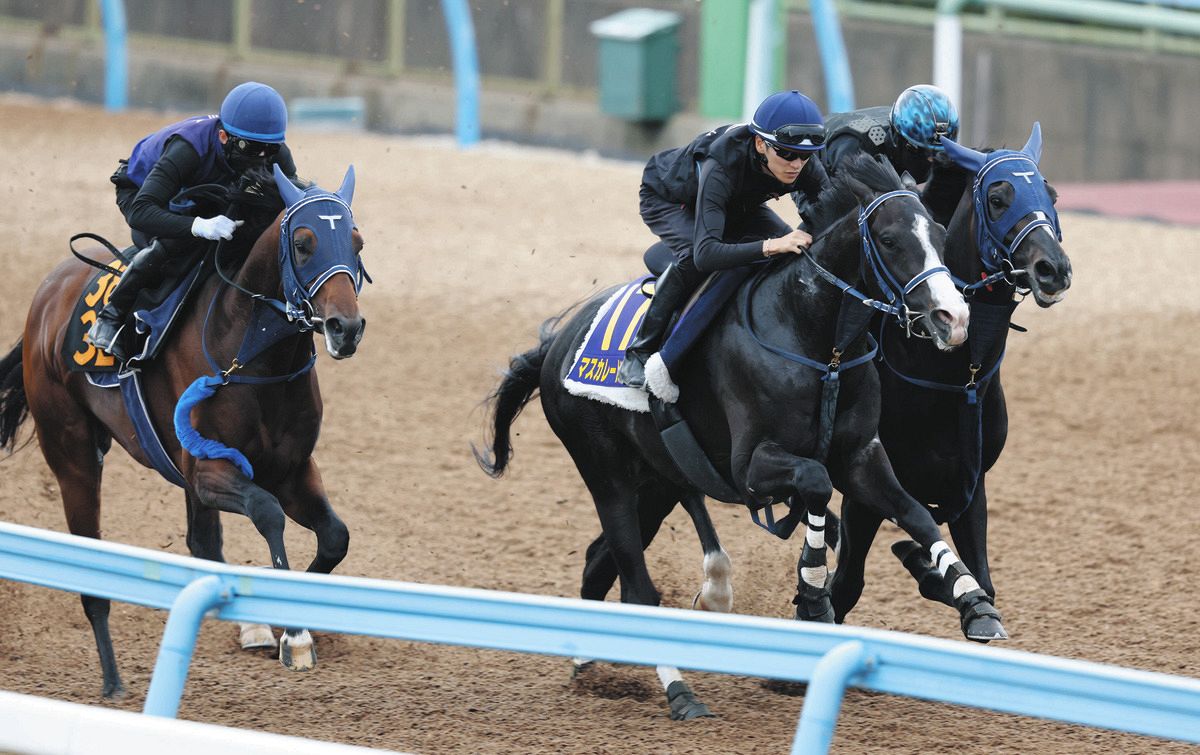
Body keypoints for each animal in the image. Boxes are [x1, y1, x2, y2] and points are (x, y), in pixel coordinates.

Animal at [0, 163, 366, 698]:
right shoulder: (211, 469)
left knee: (202, 544)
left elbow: (335, 537)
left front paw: (285, 623)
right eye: (302, 243)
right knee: (92, 567)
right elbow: (267, 511)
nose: (346, 328)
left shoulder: (291, 469)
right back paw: (112, 681)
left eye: (357, 243)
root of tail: (46, 293)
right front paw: (294, 633)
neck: (251, 355)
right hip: (73, 456)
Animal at [478, 153, 1002, 719]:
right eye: (888, 240)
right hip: (606, 473)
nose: (953, 318)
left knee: (600, 563)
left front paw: (973, 599)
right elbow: (815, 483)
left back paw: (590, 666)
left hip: (657, 482)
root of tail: (557, 344)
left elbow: (915, 513)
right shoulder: (750, 465)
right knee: (637, 587)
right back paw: (680, 692)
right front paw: (812, 592)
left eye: (939, 234)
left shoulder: (861, 456)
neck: (818, 340)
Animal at [830, 124, 1072, 634]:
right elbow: (845, 586)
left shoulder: (970, 486)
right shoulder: (864, 490)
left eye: (1053, 195)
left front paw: (938, 578)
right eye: (998, 198)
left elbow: (980, 581)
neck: (950, 377)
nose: (1053, 269)